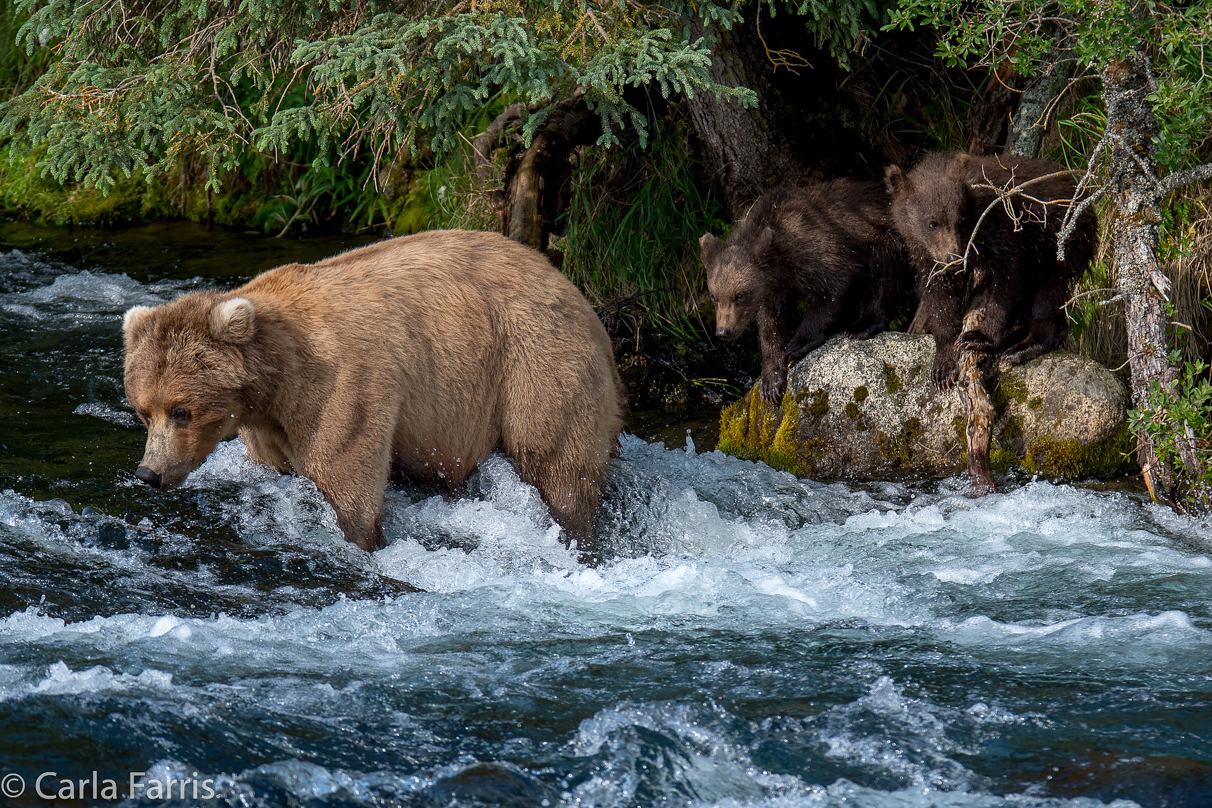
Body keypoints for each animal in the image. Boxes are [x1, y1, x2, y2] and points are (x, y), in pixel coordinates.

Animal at [123, 227, 625, 557]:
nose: (149, 473)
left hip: (535, 360)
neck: (276, 381)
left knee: (557, 462)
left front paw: (365, 540)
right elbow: (277, 469)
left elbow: (346, 479)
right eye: (144, 411)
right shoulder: (267, 426)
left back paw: (574, 533)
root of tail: (573, 289)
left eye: (181, 410)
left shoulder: (340, 386)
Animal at [702, 179, 911, 402]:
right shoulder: (773, 289)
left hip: (885, 237)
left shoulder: (816, 247)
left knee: (886, 276)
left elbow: (834, 289)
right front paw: (771, 381)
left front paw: (798, 344)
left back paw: (861, 326)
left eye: (740, 295)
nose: (723, 330)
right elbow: (771, 325)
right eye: (714, 296)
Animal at [882, 156, 1100, 392]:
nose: (954, 257)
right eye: (932, 223)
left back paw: (1022, 347)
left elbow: (1009, 277)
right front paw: (944, 366)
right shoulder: (925, 255)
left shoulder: (999, 225)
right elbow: (938, 295)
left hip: (1059, 238)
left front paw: (979, 336)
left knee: (1048, 289)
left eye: (959, 220)